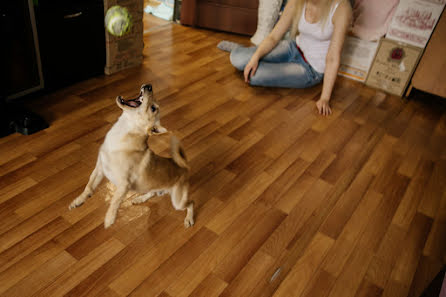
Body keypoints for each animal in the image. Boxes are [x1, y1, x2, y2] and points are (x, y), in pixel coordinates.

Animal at [69, 84, 193, 228]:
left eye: (153, 108)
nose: (149, 86)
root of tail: (184, 167)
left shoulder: (124, 184)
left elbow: (115, 200)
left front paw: (109, 218)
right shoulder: (99, 169)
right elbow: (89, 186)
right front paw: (78, 201)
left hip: (178, 202)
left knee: (191, 203)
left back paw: (189, 219)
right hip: (155, 188)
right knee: (153, 191)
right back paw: (140, 198)